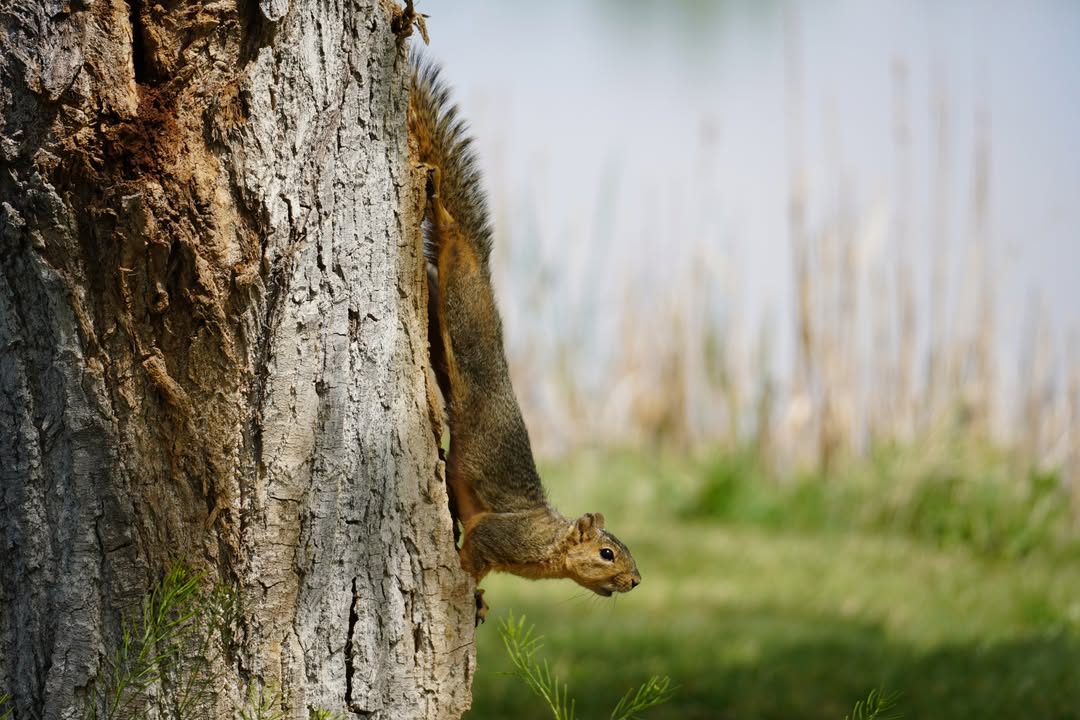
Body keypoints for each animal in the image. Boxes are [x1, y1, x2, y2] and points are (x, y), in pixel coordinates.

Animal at [407, 53, 641, 623]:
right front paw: (469, 588)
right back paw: (440, 203)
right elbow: (473, 551)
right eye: (607, 553)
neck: (550, 546)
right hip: (462, 306)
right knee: (450, 230)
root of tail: (482, 262)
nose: (636, 581)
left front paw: (483, 599)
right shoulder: (498, 534)